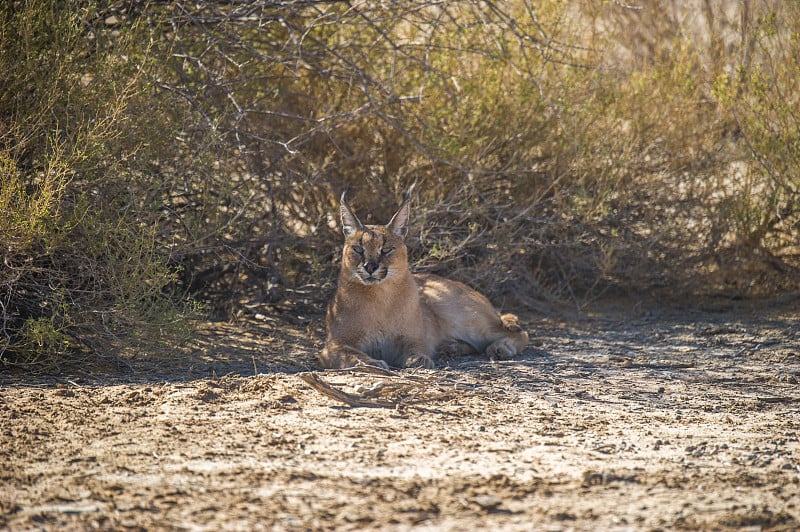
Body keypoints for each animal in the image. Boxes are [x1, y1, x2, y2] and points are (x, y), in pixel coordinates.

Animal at [322, 187, 528, 370]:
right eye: (358, 249)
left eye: (386, 249)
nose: (370, 267)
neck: (380, 296)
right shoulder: (333, 344)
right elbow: (351, 354)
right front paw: (372, 363)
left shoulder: (414, 337)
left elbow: (416, 347)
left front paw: (418, 358)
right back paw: (451, 347)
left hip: (464, 315)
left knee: (519, 331)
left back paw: (500, 347)